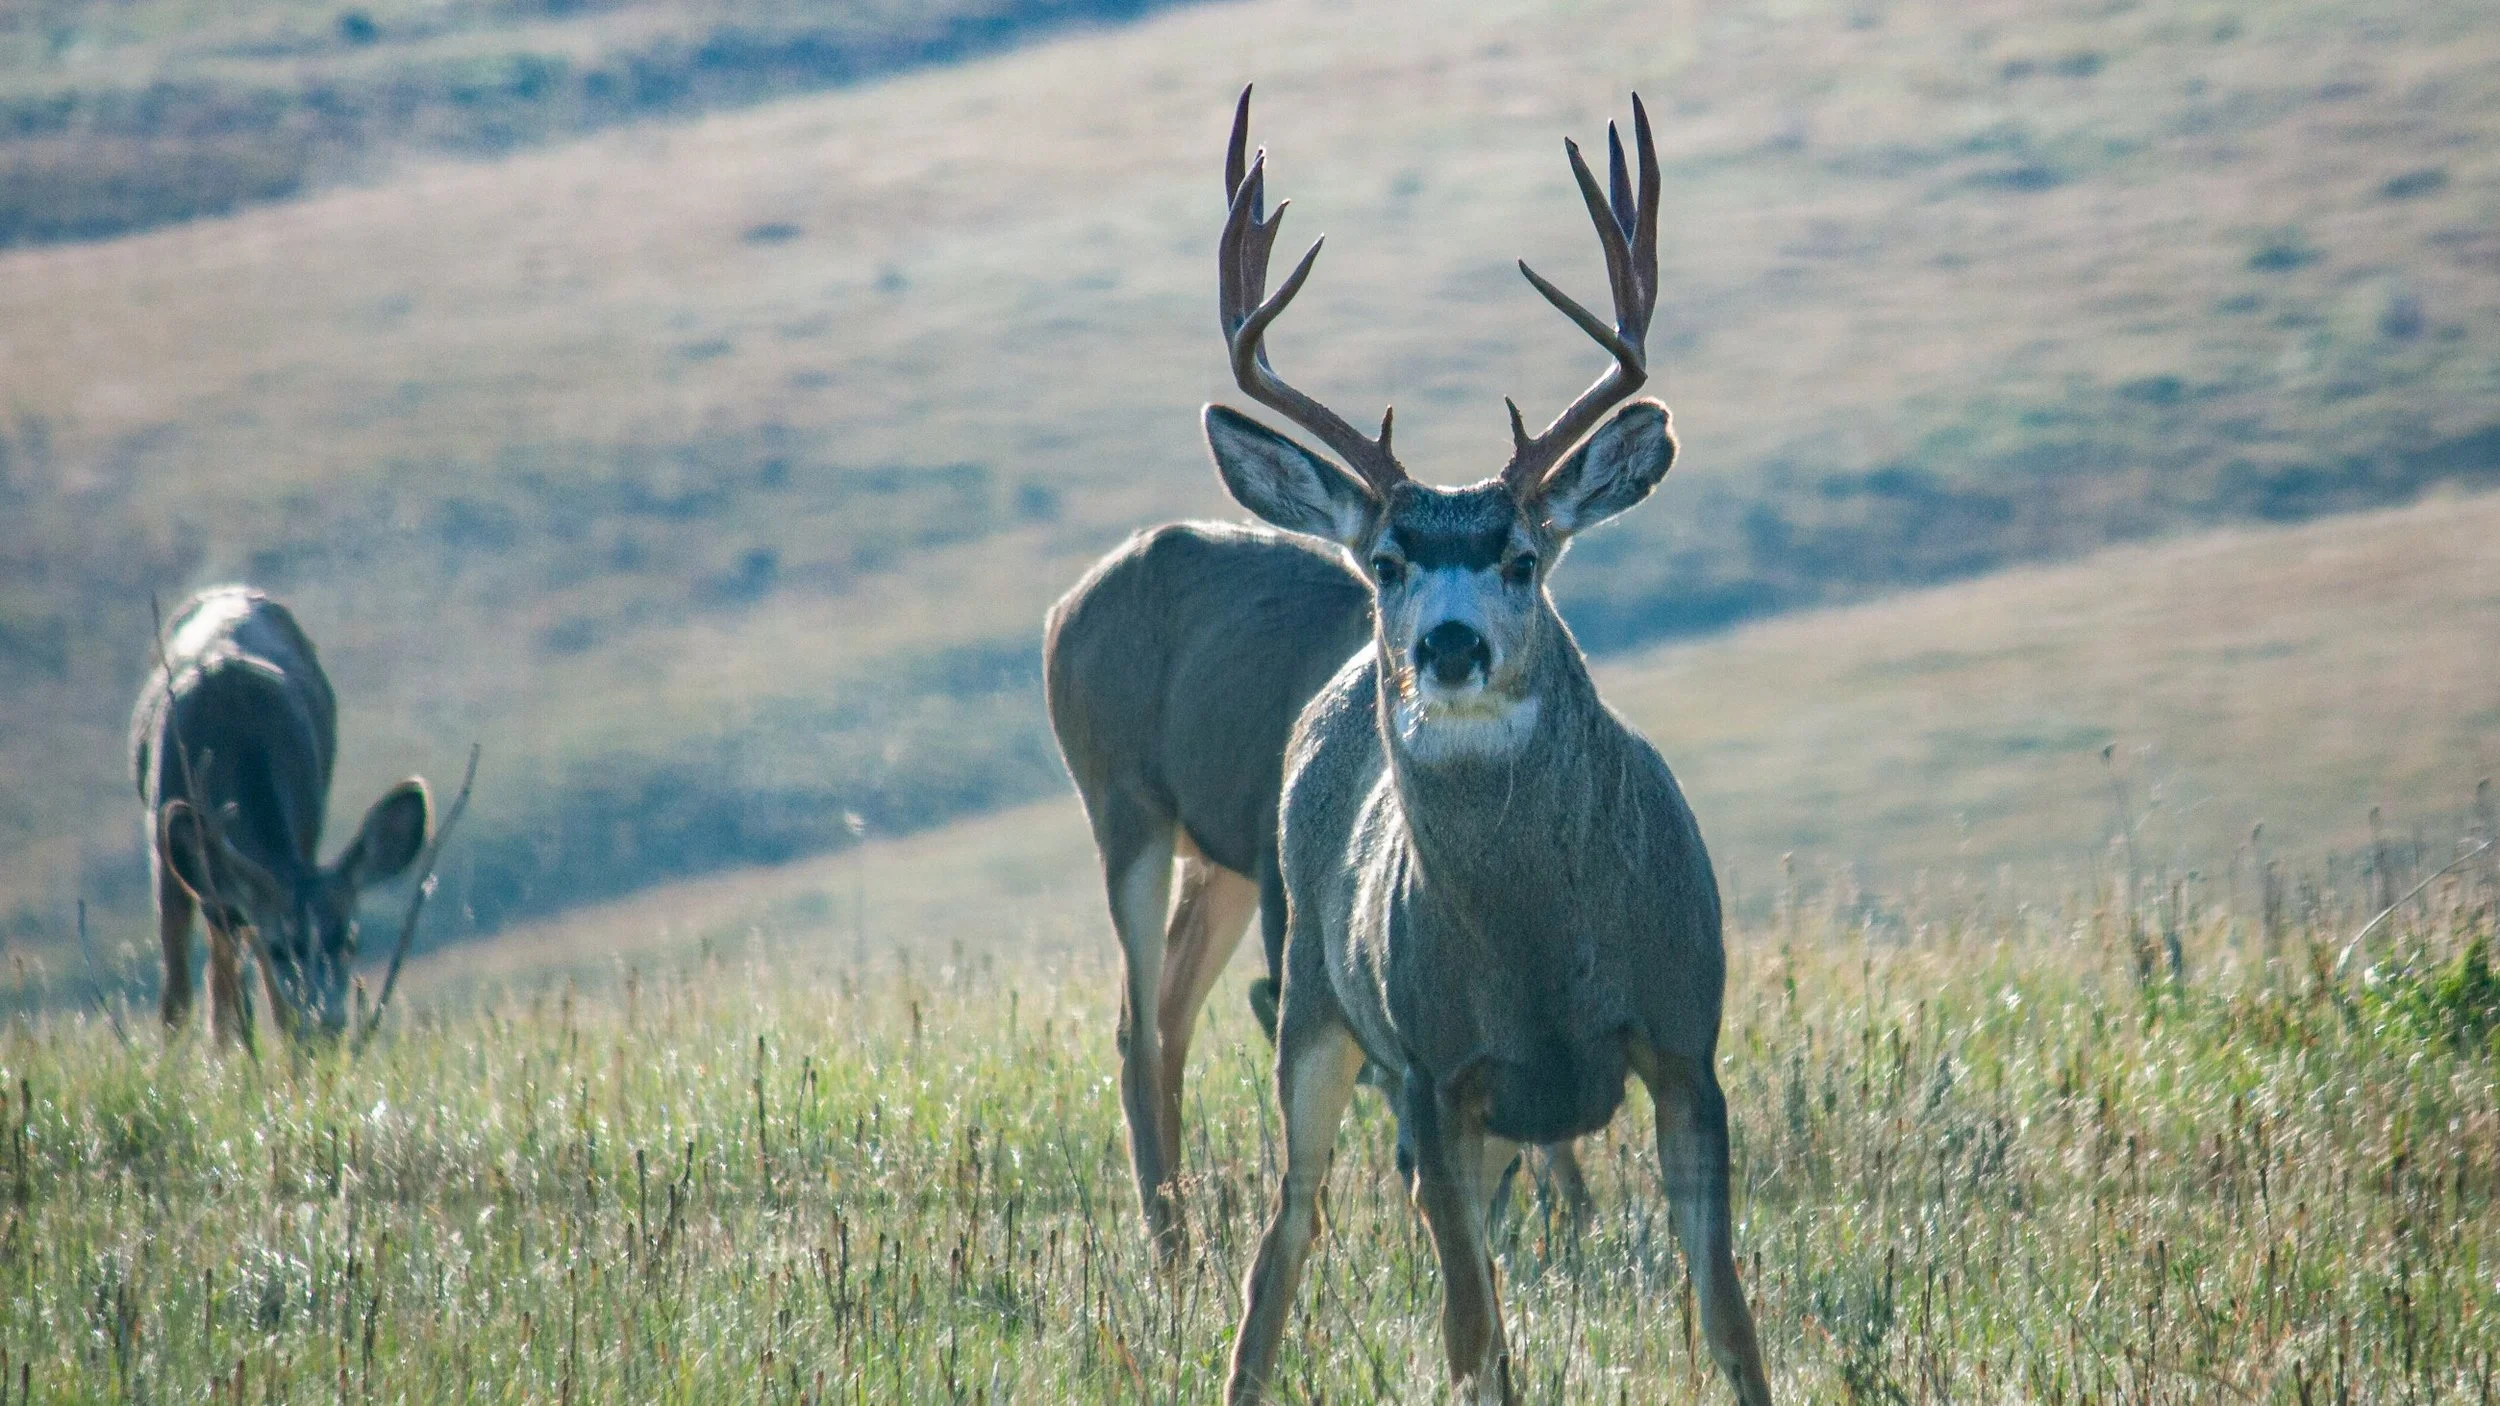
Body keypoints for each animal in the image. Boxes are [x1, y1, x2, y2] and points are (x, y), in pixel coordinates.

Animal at [132, 585, 434, 1047]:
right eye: (281, 946)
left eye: (351, 940)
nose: (327, 1022)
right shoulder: (163, 846)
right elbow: (176, 995)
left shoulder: (304, 829)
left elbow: (269, 998)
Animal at [1046, 523, 1602, 1261]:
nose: (1482, 1210)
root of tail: (1061, 616)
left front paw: (1587, 1222)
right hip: (1130, 816)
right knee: (1136, 1030)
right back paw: (1172, 1250)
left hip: (1219, 870)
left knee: (1170, 1016)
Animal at [1208, 91, 1773, 1403]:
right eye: (1385, 560)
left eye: (1522, 556)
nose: (1451, 644)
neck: (1537, 953)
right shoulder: (1429, 1070)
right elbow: (1474, 1335)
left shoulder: (1687, 1041)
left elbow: (1727, 1314)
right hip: (1314, 1002)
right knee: (1285, 1240)